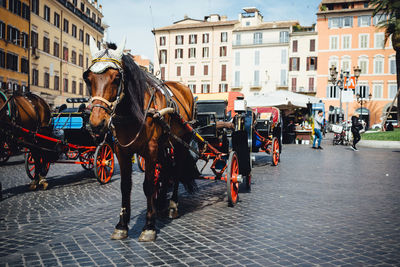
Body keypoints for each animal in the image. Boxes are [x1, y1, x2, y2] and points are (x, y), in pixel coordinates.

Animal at [85, 38, 198, 243]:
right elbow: (125, 186)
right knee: (166, 169)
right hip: (164, 144)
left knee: (176, 170)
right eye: (88, 78)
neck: (134, 113)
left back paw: (172, 205)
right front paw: (122, 225)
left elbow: (148, 185)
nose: (97, 123)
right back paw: (160, 202)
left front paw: (149, 226)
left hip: (181, 142)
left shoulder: (150, 149)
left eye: (116, 78)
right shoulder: (122, 151)